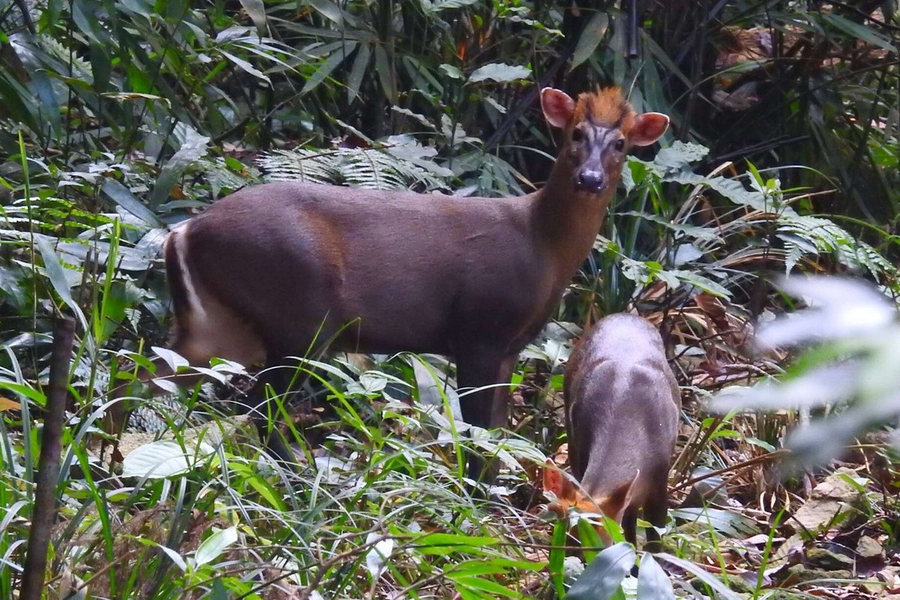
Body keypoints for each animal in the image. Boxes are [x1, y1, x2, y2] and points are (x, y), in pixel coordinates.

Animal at [114, 86, 668, 478]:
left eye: (620, 143)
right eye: (575, 134)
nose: (590, 179)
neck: (542, 248)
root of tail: (184, 231)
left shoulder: (512, 345)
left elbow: (496, 430)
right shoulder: (478, 330)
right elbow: (475, 430)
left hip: (217, 327)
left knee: (139, 377)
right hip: (299, 314)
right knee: (259, 409)